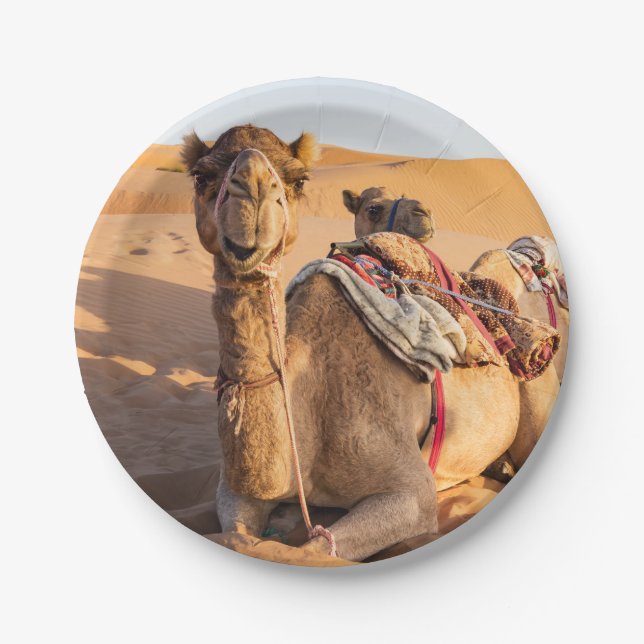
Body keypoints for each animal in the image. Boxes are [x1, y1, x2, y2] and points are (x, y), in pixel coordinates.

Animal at [184, 126, 543, 562]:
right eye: (200, 176)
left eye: (298, 180)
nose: (252, 189)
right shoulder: (235, 490)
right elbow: (238, 535)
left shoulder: (412, 493)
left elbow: (313, 550)